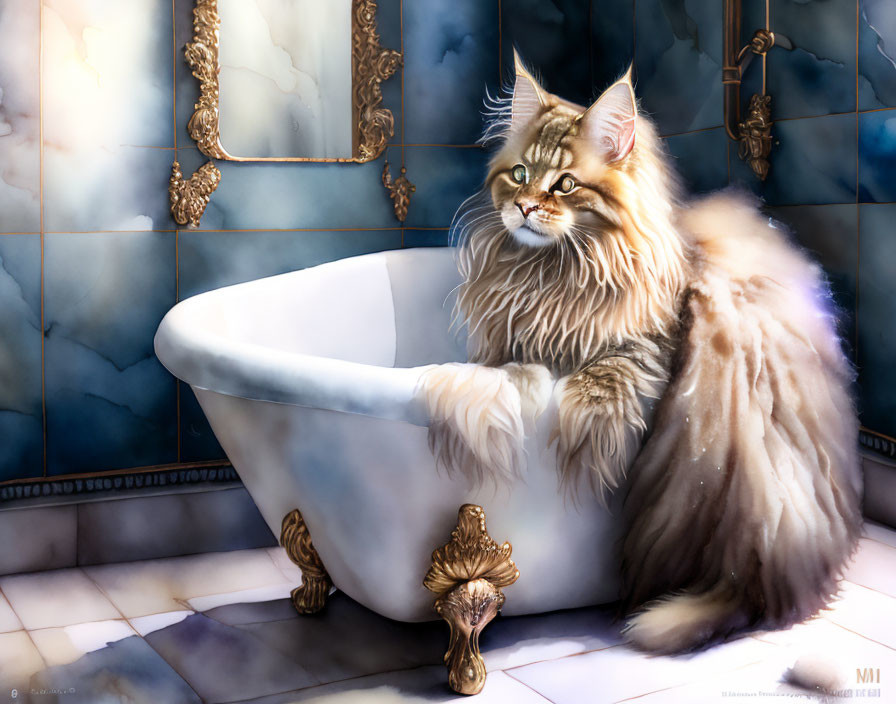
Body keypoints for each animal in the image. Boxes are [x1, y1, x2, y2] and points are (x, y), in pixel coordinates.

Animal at [418, 55, 860, 656]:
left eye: (566, 184)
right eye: (519, 174)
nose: (524, 206)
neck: (552, 276)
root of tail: (759, 576)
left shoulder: (644, 350)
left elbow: (595, 386)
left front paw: (580, 441)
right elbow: (507, 371)